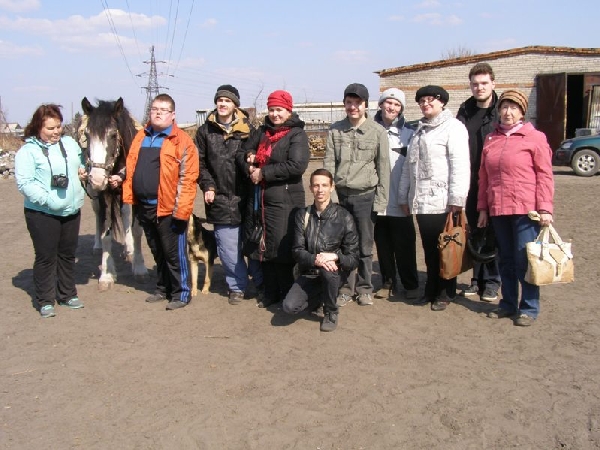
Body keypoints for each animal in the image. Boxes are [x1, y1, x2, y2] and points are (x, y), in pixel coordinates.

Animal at [80, 97, 148, 290]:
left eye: (112, 135)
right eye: (87, 135)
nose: (96, 178)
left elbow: (136, 229)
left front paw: (139, 267)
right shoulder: (104, 196)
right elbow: (106, 234)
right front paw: (107, 274)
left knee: (125, 214)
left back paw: (129, 249)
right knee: (98, 215)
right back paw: (96, 246)